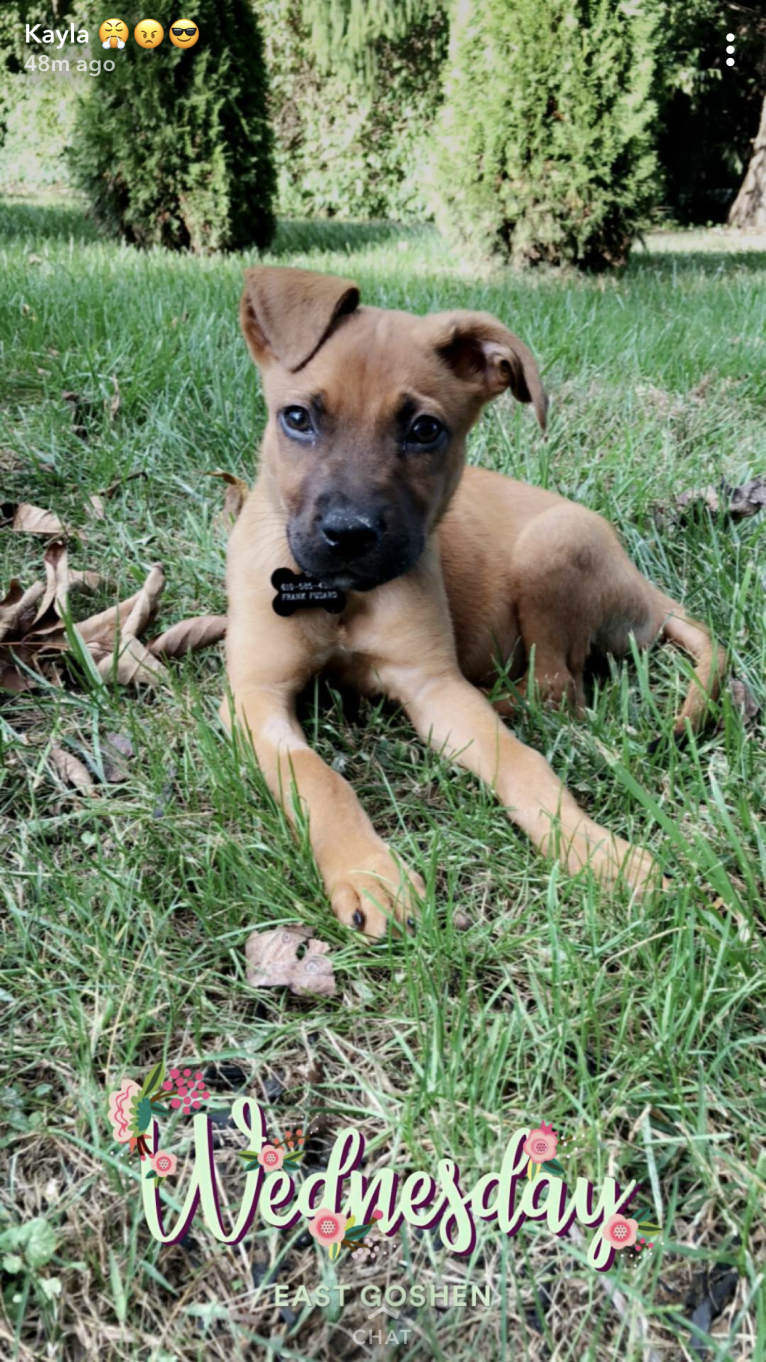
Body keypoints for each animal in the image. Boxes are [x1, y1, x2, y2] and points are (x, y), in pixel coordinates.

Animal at [219, 271, 719, 942]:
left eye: (425, 430)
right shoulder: (254, 698)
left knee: (557, 688)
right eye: (296, 418)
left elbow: (523, 762)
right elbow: (319, 779)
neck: (341, 597)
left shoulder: (431, 684)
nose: (349, 535)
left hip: (550, 545)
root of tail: (650, 592)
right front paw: (372, 873)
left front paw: (597, 851)